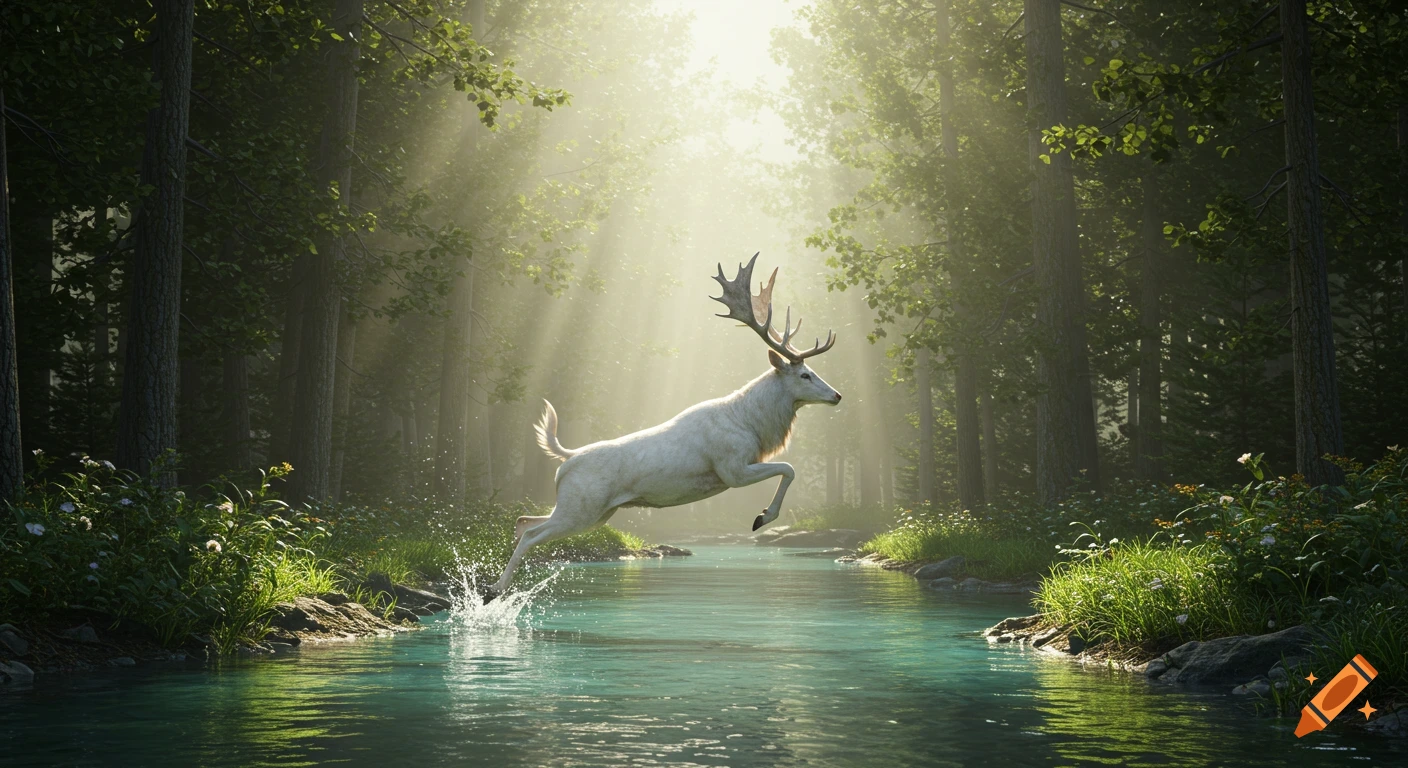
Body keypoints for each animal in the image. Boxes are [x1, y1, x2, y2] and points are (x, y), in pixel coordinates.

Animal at [481, 254, 840, 601]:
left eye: (814, 371)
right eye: (804, 375)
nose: (837, 395)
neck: (753, 425)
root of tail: (565, 461)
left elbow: (787, 469)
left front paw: (762, 515)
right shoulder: (731, 468)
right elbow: (789, 468)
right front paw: (761, 517)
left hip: (593, 512)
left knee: (523, 521)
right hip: (580, 507)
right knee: (530, 533)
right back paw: (493, 590)